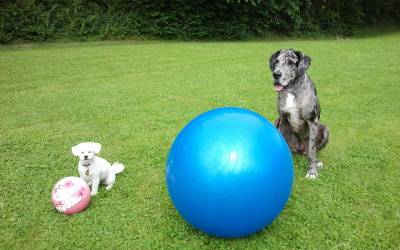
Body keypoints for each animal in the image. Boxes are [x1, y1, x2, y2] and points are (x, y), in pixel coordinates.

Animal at [268, 48, 330, 178]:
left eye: (291, 62)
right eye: (277, 61)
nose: (276, 74)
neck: (292, 90)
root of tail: (299, 149)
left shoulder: (312, 121)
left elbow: (312, 150)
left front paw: (312, 172)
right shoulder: (282, 119)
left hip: (325, 129)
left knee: (311, 151)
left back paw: (317, 162)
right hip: (276, 121)